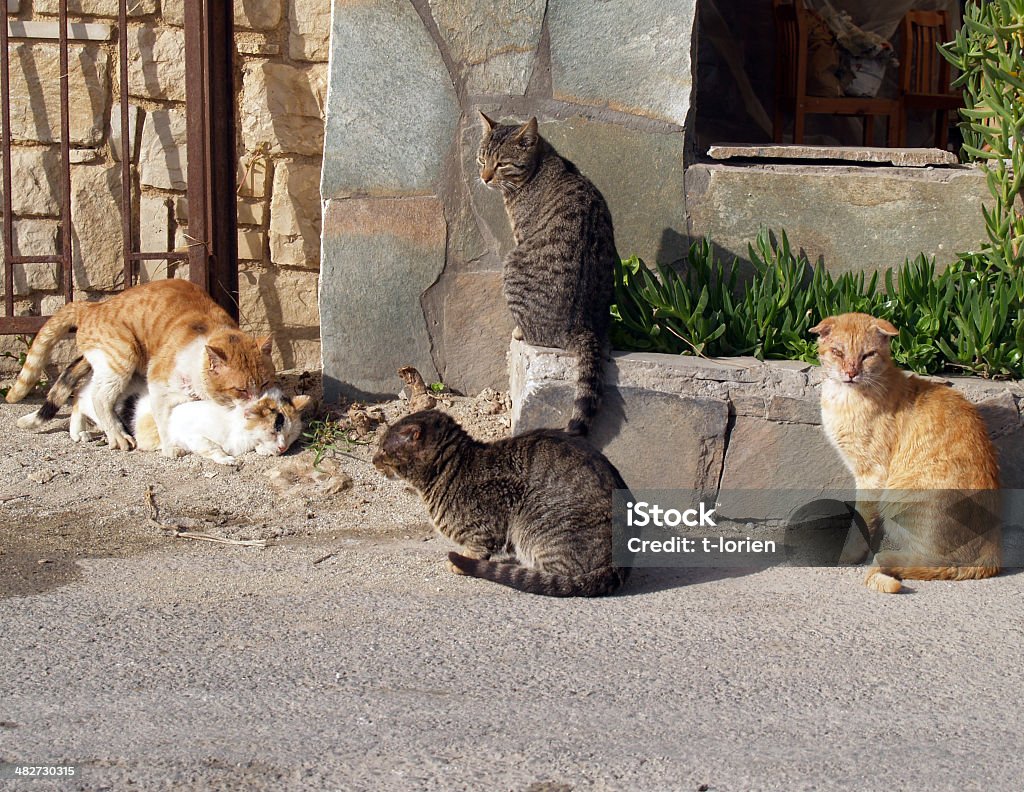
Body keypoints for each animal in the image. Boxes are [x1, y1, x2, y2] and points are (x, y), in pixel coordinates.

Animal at [8, 278, 272, 454]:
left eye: (265, 383)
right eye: (241, 390)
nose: (258, 401)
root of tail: (91, 307)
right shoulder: (157, 383)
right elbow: (165, 420)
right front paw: (171, 448)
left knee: (80, 392)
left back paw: (78, 432)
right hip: (123, 356)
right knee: (98, 397)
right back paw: (117, 436)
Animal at [811, 311, 995, 590]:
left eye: (867, 355)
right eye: (838, 352)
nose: (851, 372)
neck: (845, 396)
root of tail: (995, 550)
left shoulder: (872, 475)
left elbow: (861, 523)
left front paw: (847, 557)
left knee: (933, 563)